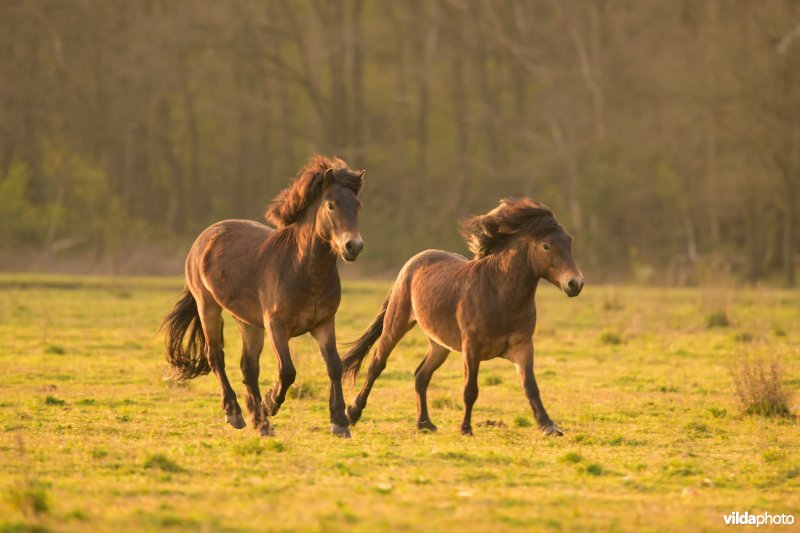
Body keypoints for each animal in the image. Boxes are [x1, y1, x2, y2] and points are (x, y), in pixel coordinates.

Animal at [160, 155, 366, 436]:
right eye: (331, 205)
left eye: (357, 206)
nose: (353, 247)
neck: (302, 269)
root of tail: (204, 237)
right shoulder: (276, 326)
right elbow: (287, 371)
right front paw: (270, 403)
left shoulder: (324, 323)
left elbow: (334, 366)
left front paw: (340, 421)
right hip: (208, 307)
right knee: (216, 356)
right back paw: (236, 413)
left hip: (247, 322)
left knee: (249, 367)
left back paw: (261, 422)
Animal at [342, 197, 580, 434]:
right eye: (546, 246)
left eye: (569, 242)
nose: (575, 283)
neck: (499, 295)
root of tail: (413, 262)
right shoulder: (471, 348)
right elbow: (470, 390)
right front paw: (465, 428)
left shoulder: (522, 346)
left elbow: (530, 386)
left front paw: (548, 426)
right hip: (396, 324)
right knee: (377, 365)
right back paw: (353, 413)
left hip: (439, 344)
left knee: (421, 375)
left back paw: (425, 423)